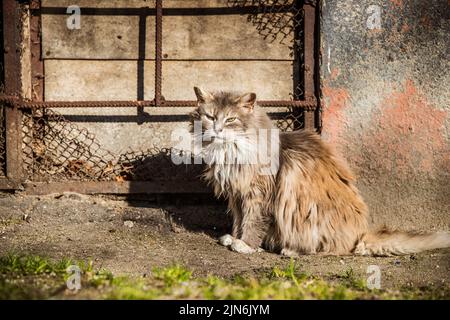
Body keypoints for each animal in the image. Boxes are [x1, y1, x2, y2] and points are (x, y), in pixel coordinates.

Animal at [190, 87, 450, 258]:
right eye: (210, 116)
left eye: (231, 119)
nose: (217, 129)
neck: (230, 153)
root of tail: (360, 233)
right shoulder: (236, 194)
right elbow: (238, 220)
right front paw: (232, 237)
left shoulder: (257, 195)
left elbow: (252, 222)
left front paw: (245, 245)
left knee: (331, 249)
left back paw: (289, 250)